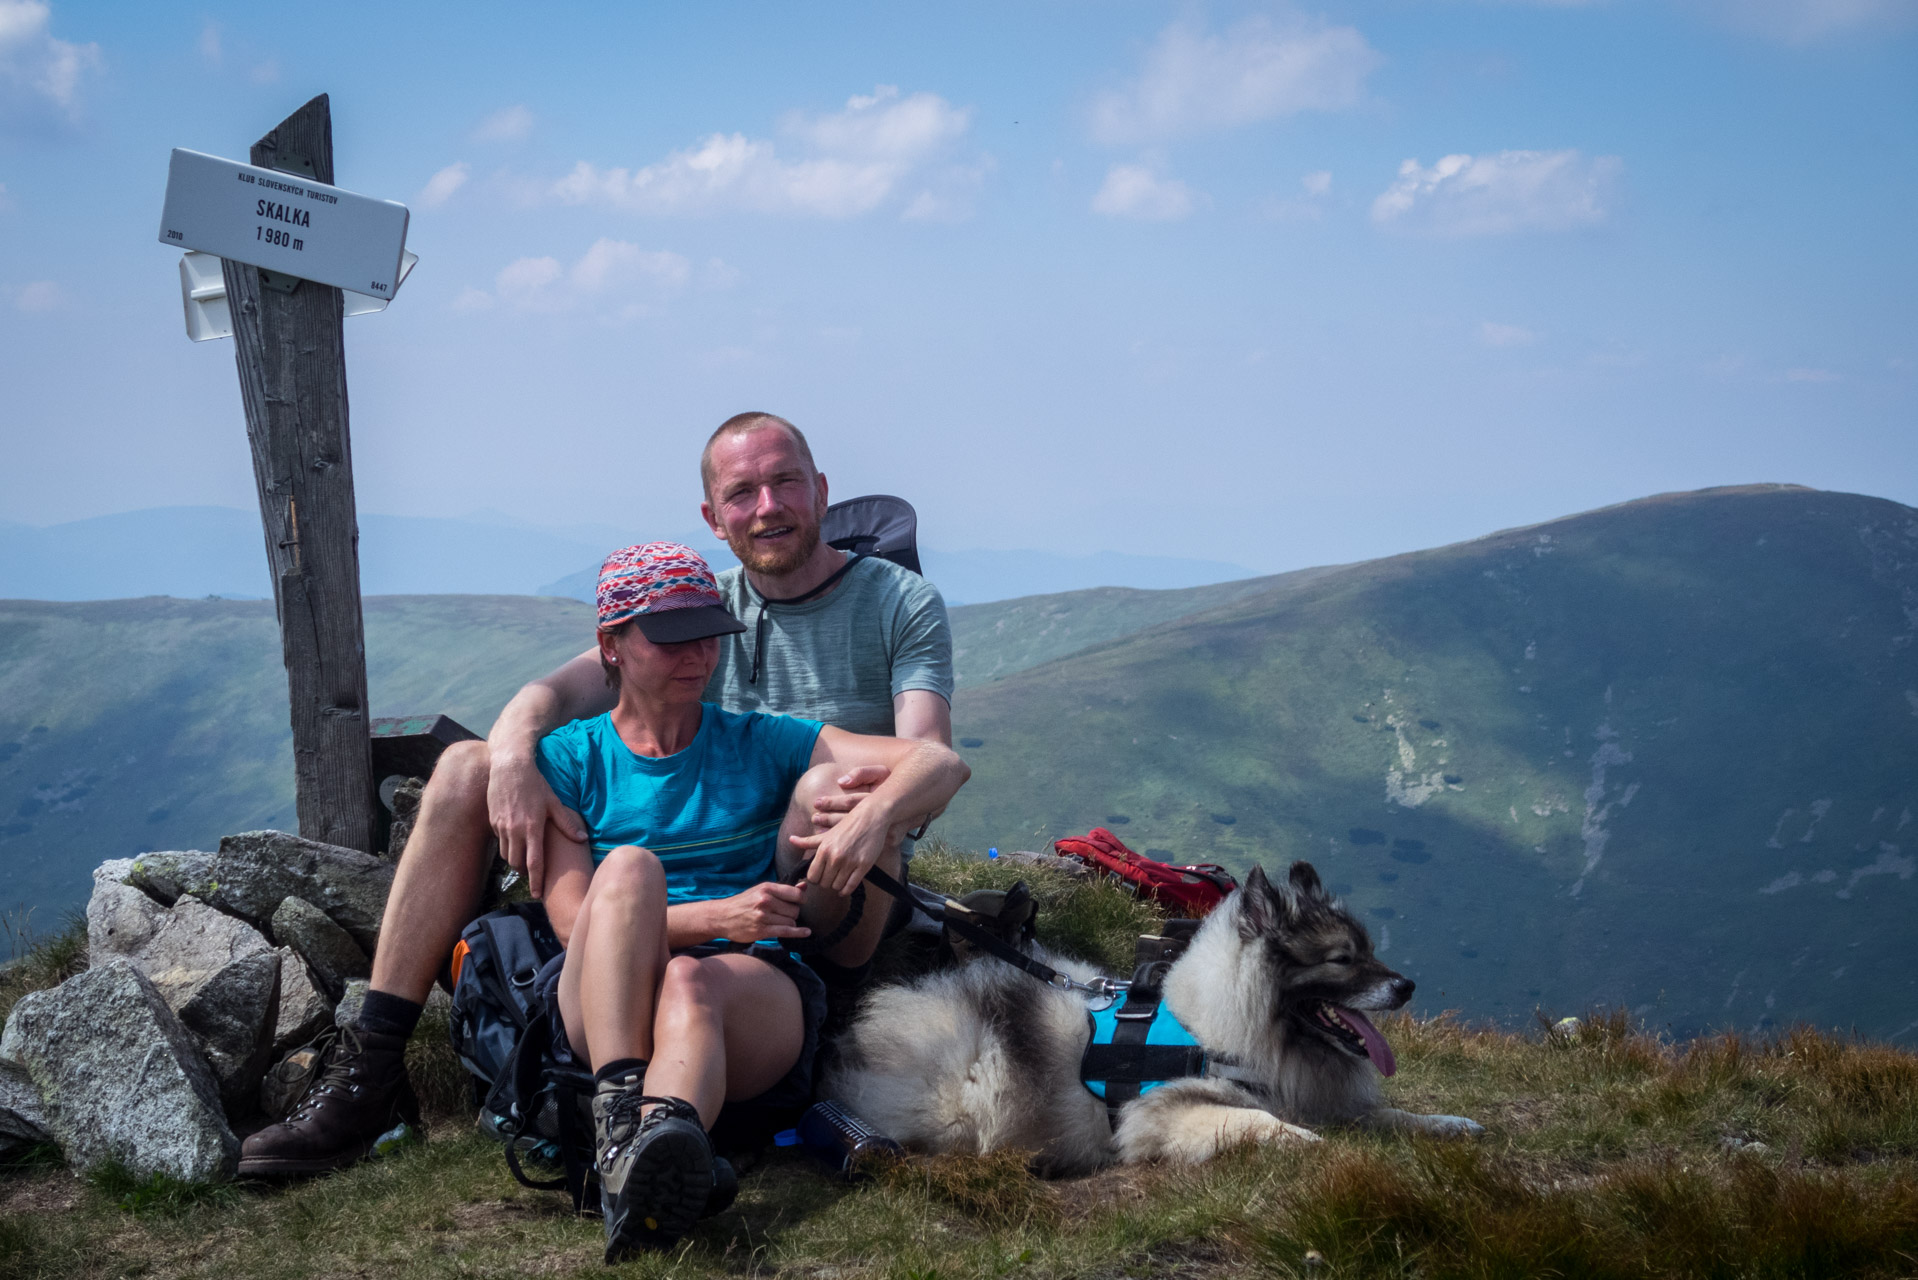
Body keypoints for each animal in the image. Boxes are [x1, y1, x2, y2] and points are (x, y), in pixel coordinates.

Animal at [824, 859, 1480, 1174]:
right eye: (1342, 959)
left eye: (1368, 951)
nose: (1407, 986)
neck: (1218, 1032)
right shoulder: (1164, 1115)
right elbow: (1262, 1122)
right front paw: (1314, 1145)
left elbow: (1391, 1114)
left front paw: (1449, 1123)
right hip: (964, 1101)